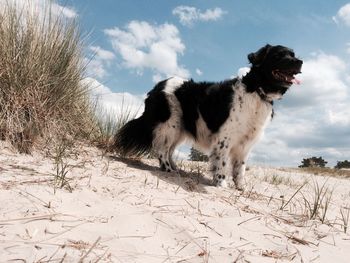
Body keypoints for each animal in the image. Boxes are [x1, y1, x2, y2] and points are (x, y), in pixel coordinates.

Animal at [113, 44, 302, 190]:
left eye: (293, 54)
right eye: (278, 55)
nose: (300, 62)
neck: (256, 90)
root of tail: (157, 86)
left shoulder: (246, 143)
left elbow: (240, 168)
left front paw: (241, 187)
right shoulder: (224, 138)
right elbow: (222, 163)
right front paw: (221, 184)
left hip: (179, 129)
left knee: (170, 150)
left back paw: (176, 169)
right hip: (169, 125)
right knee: (162, 150)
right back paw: (168, 170)